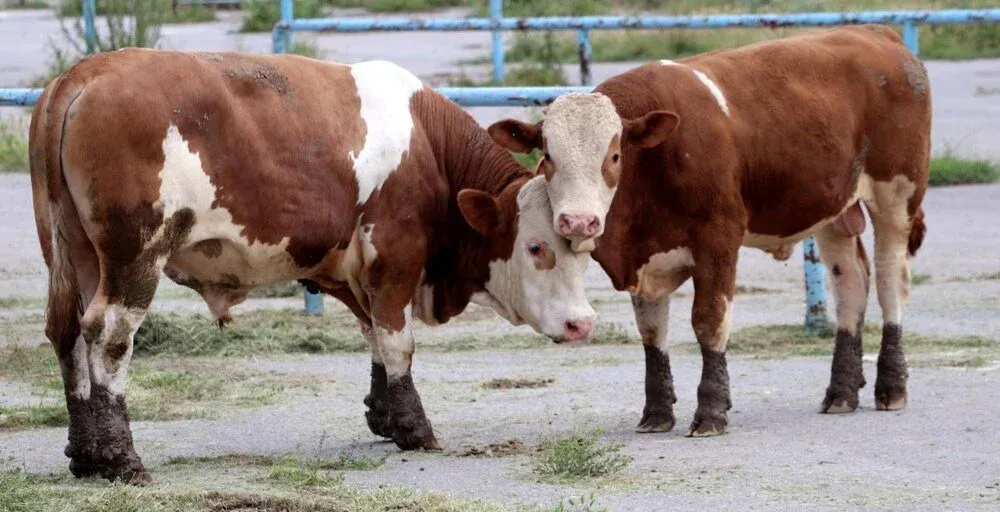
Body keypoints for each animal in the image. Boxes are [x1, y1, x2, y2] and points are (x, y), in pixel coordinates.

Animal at [29, 50, 592, 482]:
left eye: (582, 247)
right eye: (537, 246)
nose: (583, 323)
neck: (430, 147)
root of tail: (83, 75)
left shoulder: (353, 267)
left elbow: (373, 333)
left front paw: (385, 414)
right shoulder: (394, 255)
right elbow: (397, 340)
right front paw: (415, 427)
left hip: (73, 255)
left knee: (68, 333)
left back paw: (84, 452)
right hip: (134, 258)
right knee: (108, 336)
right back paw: (118, 457)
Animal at [490, 25, 928, 436]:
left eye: (614, 156)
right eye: (548, 155)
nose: (579, 221)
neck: (651, 167)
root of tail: (874, 32)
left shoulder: (718, 238)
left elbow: (709, 320)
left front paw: (712, 411)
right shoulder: (646, 255)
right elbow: (651, 331)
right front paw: (657, 413)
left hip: (896, 197)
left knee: (890, 282)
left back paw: (892, 387)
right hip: (834, 212)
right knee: (851, 283)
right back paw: (841, 393)